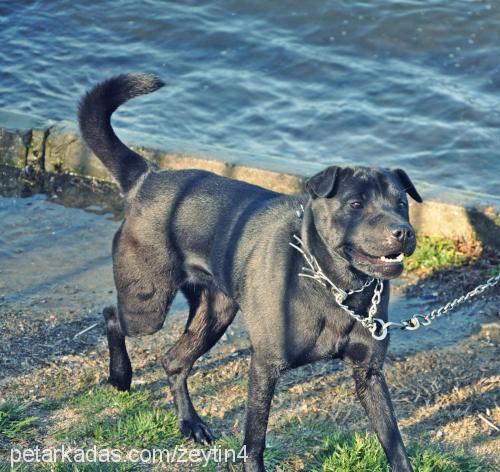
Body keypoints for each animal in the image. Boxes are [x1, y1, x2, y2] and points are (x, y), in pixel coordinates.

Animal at [78, 74, 422, 472]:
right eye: (355, 203)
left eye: (401, 202)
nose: (403, 231)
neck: (336, 287)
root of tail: (147, 179)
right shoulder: (265, 366)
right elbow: (255, 437)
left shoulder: (368, 374)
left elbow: (394, 443)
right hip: (147, 305)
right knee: (113, 316)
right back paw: (121, 375)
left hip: (214, 313)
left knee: (174, 361)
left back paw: (191, 424)